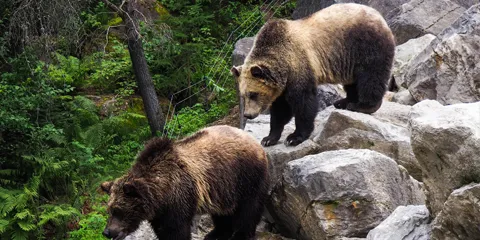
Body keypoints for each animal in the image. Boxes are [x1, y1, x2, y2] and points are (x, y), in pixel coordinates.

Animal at [100, 125, 270, 240]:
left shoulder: (179, 196)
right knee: (222, 211)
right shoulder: (160, 211)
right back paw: (216, 233)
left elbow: (176, 230)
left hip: (246, 175)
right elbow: (161, 229)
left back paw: (240, 234)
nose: (107, 232)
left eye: (118, 210)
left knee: (249, 207)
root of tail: (252, 139)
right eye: (109, 210)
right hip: (222, 187)